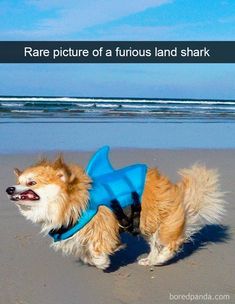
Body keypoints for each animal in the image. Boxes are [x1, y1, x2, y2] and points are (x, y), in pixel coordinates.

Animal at [6, 148, 225, 270]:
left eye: (31, 182)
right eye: (18, 181)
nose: (9, 189)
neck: (70, 202)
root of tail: (176, 191)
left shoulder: (102, 225)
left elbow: (98, 248)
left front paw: (102, 262)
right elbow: (85, 253)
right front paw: (92, 261)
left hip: (161, 223)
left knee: (170, 244)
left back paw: (159, 260)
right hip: (148, 225)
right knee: (156, 244)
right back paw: (149, 260)